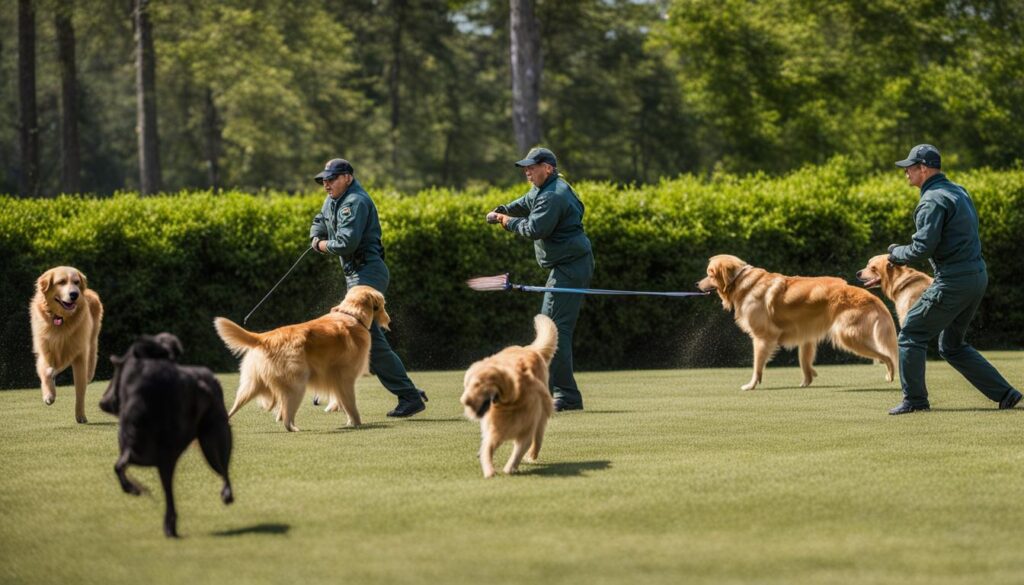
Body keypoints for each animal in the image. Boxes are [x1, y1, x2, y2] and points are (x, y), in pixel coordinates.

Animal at [99, 333, 234, 540]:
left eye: (116, 370)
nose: (103, 403)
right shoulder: (159, 458)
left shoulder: (141, 452)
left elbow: (119, 467)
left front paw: (135, 489)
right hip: (210, 438)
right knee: (222, 471)